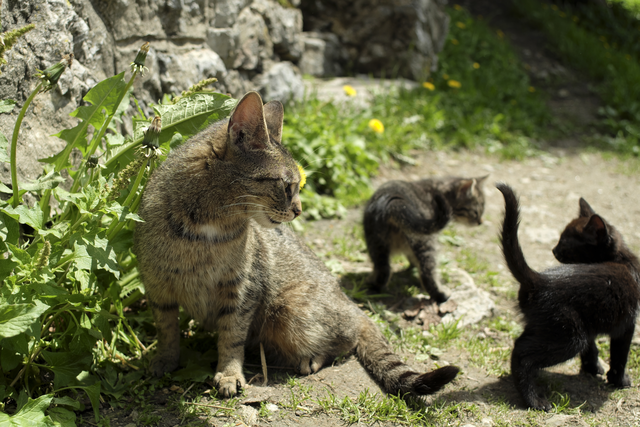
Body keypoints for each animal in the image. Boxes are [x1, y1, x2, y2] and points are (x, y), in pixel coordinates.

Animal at [134, 92, 460, 400]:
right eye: (287, 186)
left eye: (298, 186)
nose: (299, 210)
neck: (206, 229)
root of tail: (352, 305)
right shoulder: (157, 287)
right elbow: (166, 332)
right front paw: (164, 361)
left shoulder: (243, 289)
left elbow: (231, 336)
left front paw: (229, 374)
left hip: (289, 312)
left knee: (346, 340)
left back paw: (311, 360)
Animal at [500, 183, 640, 412]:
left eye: (564, 243)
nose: (554, 250)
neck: (622, 259)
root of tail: (539, 279)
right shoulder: (627, 324)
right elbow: (620, 355)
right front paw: (619, 381)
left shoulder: (590, 321)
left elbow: (592, 348)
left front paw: (592, 368)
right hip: (570, 335)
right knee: (522, 355)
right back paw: (535, 401)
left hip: (547, 327)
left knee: (519, 344)